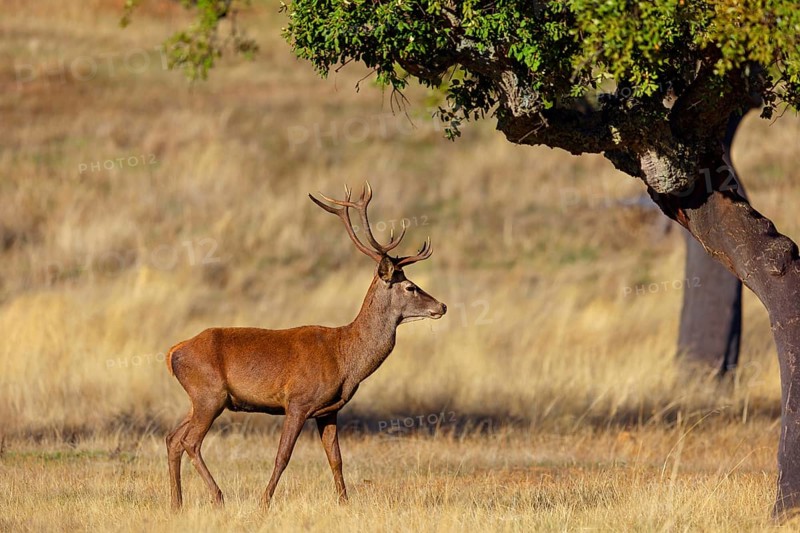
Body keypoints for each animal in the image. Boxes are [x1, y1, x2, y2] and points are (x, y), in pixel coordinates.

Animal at [164, 183, 447, 510]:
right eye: (410, 287)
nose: (442, 306)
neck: (346, 357)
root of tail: (173, 352)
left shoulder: (329, 410)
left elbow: (336, 459)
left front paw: (344, 503)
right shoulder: (298, 401)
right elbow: (282, 456)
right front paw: (264, 502)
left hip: (200, 399)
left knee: (173, 438)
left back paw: (177, 503)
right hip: (210, 394)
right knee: (190, 441)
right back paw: (218, 496)